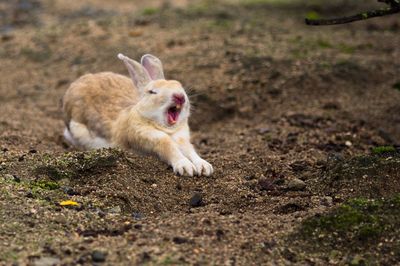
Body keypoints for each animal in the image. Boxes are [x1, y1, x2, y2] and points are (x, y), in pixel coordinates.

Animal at [61, 53, 212, 177]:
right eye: (152, 92)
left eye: (179, 85)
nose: (180, 97)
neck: (166, 129)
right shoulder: (149, 138)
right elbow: (168, 147)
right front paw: (186, 168)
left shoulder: (183, 139)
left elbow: (190, 151)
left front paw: (205, 167)